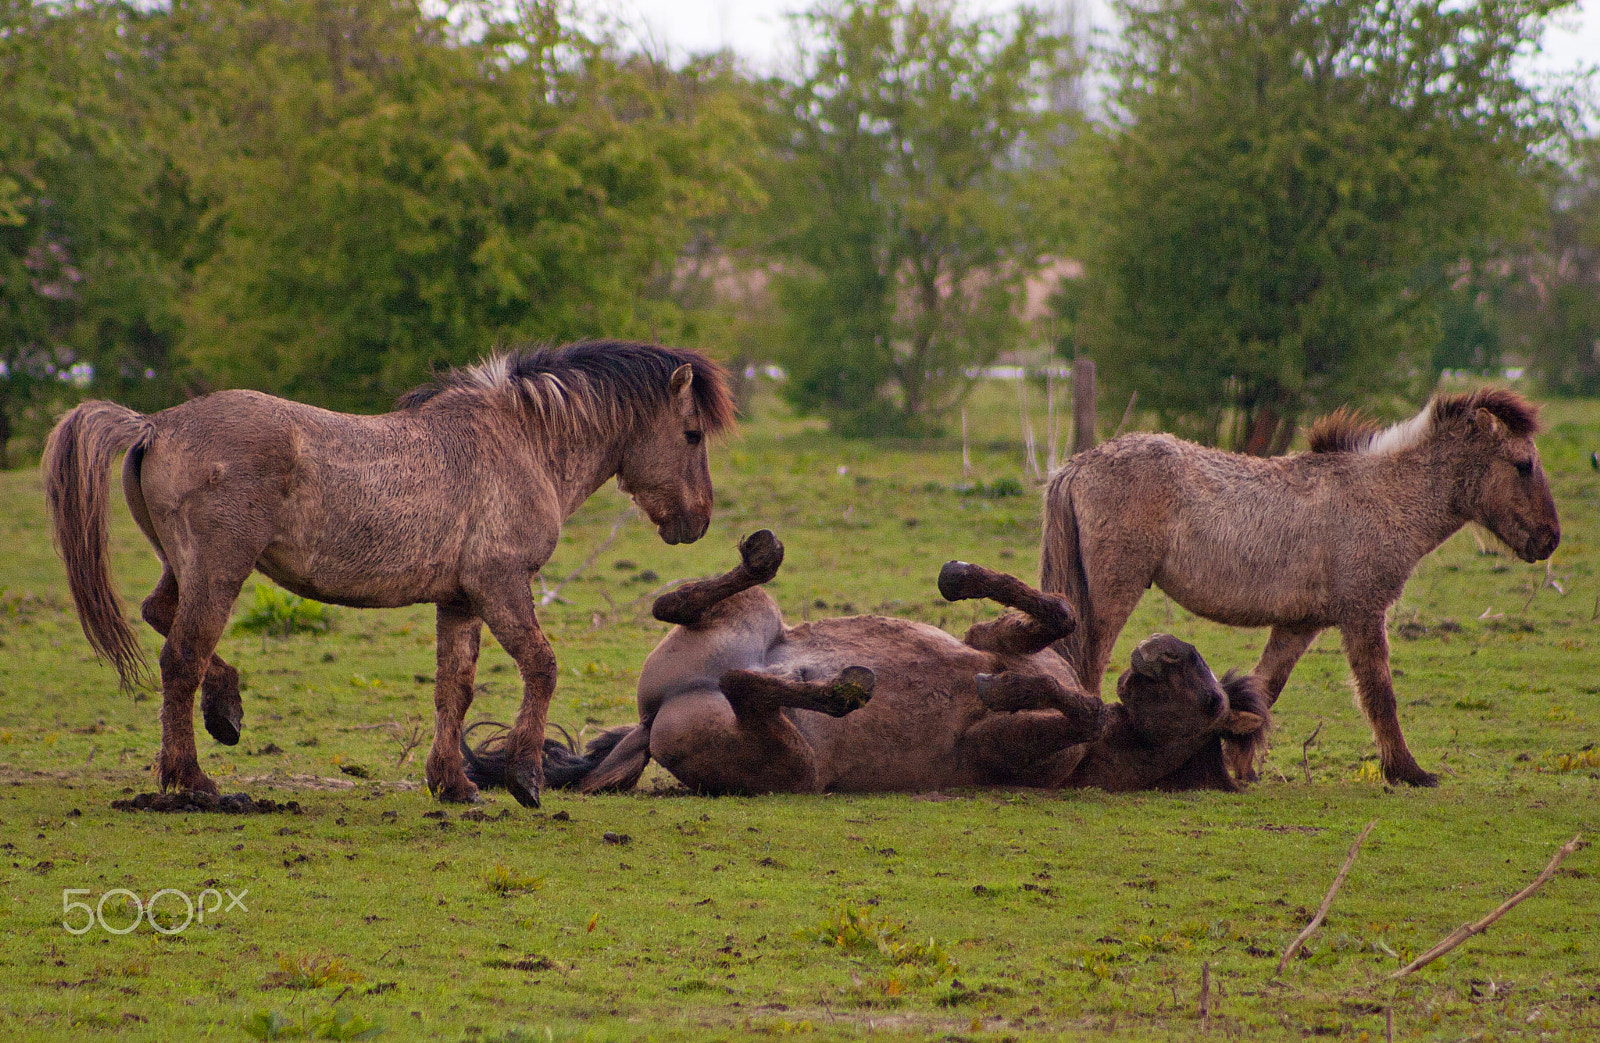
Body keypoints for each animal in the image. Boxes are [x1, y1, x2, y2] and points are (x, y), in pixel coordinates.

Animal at [43, 340, 735, 807]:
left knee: (161, 618)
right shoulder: (501, 583)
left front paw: (452, 784)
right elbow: (541, 666)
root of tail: (153, 425)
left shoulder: (461, 600)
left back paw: (227, 712)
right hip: (219, 570)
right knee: (181, 655)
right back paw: (194, 780)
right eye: (692, 434)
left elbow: (454, 687)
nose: (698, 520)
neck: (519, 444)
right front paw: (524, 779)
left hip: (184, 567)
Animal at [461, 530, 1270, 796]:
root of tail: (651, 715)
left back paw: (840, 688)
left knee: (743, 685)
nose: (1162, 651)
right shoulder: (1014, 639)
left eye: (1211, 703)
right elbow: (1053, 612)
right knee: (679, 604)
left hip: (791, 765)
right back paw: (762, 556)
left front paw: (1003, 686)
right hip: (747, 623)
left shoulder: (1008, 748)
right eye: (1199, 676)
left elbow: (1081, 706)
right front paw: (962, 580)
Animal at [1042, 387, 1559, 787]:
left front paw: (1241, 765)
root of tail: (1078, 464)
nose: (1550, 538)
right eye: (1523, 464)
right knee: (1087, 665)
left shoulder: (1299, 625)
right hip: (1113, 594)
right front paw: (1409, 772)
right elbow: (1380, 695)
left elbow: (1264, 690)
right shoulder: (1363, 614)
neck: (1385, 498)